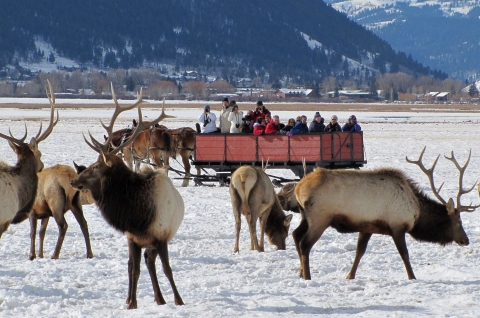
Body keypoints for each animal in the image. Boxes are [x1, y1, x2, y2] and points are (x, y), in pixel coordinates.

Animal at [70, 85, 185, 310]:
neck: (138, 216)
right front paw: (131, 302)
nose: (73, 180)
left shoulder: (161, 237)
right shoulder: (133, 238)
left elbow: (167, 269)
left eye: (95, 167)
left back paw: (161, 298)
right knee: (144, 263)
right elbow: (133, 269)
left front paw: (179, 300)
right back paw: (157, 298)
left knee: (151, 261)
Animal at [292, 148, 480, 280]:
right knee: (305, 243)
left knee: (295, 234)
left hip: (305, 216)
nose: (466, 240)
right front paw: (412, 277)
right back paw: (307, 277)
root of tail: (298, 188)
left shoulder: (367, 226)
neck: (417, 213)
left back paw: (301, 273)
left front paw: (350, 275)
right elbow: (405, 254)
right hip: (320, 217)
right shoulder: (397, 226)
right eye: (458, 221)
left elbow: (359, 251)